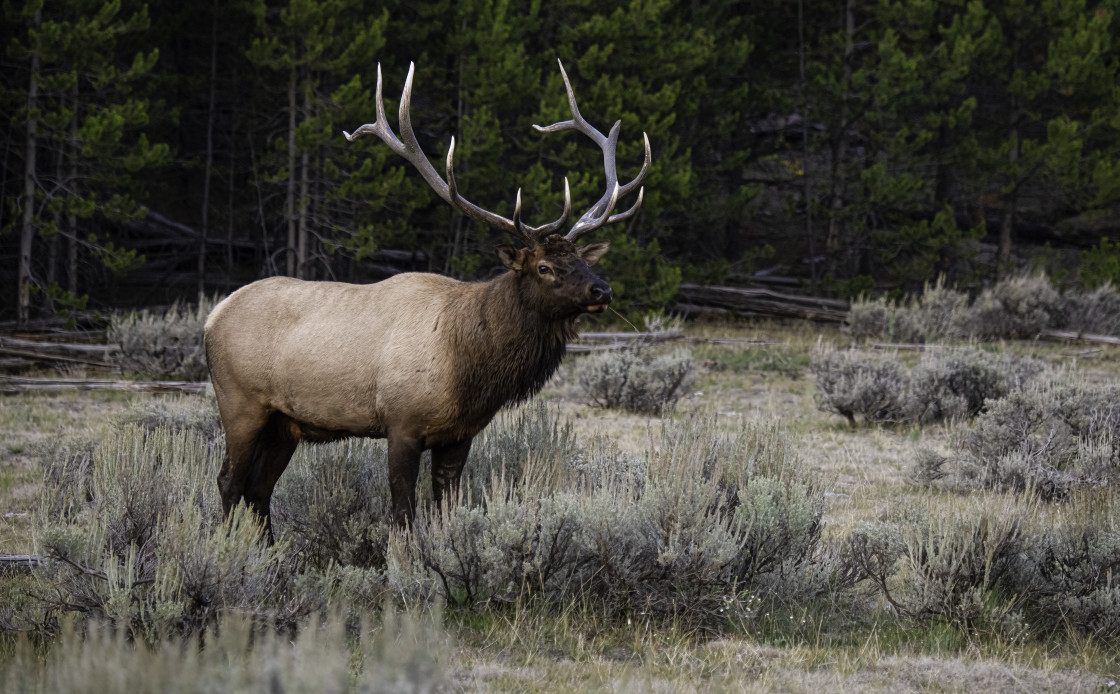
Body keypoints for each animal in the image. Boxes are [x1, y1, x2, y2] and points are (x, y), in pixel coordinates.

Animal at [206, 61, 654, 537]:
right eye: (544, 267)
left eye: (582, 260)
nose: (601, 290)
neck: (470, 368)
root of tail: (213, 316)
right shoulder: (401, 424)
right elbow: (402, 515)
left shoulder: (459, 435)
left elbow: (445, 509)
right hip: (240, 403)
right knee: (229, 481)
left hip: (284, 423)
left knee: (260, 488)